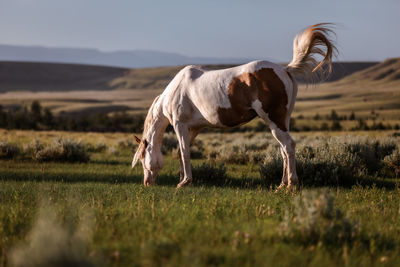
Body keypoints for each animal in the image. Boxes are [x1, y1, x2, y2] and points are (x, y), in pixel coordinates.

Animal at [132, 24, 338, 189]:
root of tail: (285, 69)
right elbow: (184, 151)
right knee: (283, 150)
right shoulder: (193, 129)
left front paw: (184, 182)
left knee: (289, 146)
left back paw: (290, 185)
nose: (147, 183)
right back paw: (281, 184)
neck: (175, 91)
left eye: (142, 157)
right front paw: (183, 178)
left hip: (274, 120)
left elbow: (184, 152)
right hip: (282, 122)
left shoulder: (179, 125)